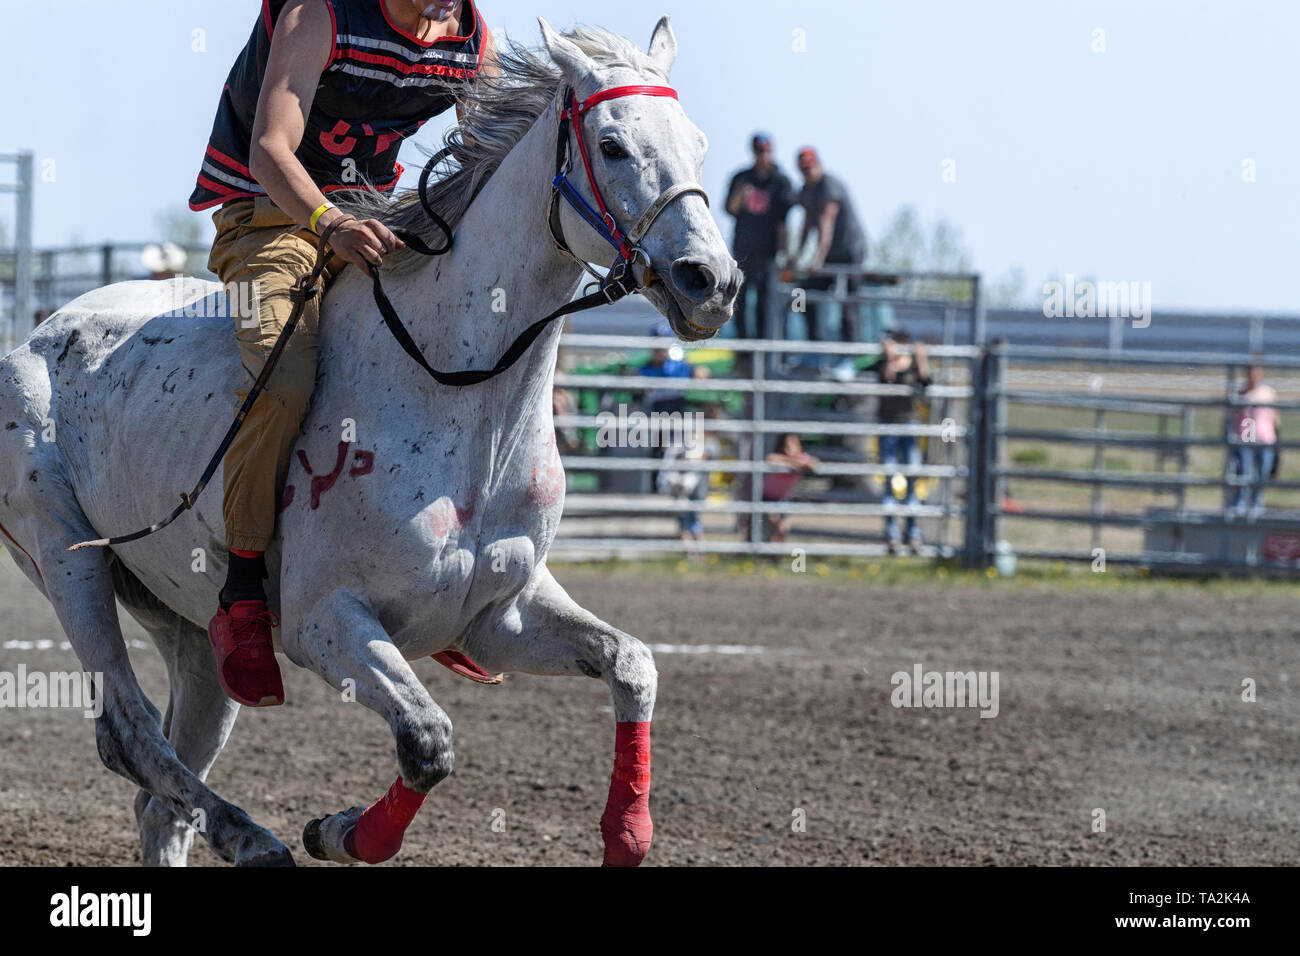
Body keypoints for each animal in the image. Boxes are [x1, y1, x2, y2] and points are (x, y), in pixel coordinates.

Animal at [0, 17, 738, 866]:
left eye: (699, 143)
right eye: (613, 145)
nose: (710, 280)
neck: (461, 398)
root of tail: (43, 333)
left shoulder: (503, 618)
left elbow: (632, 663)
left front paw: (627, 830)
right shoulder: (327, 623)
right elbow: (428, 741)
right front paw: (339, 830)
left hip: (188, 631)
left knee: (162, 800)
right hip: (65, 561)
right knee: (129, 735)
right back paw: (256, 839)